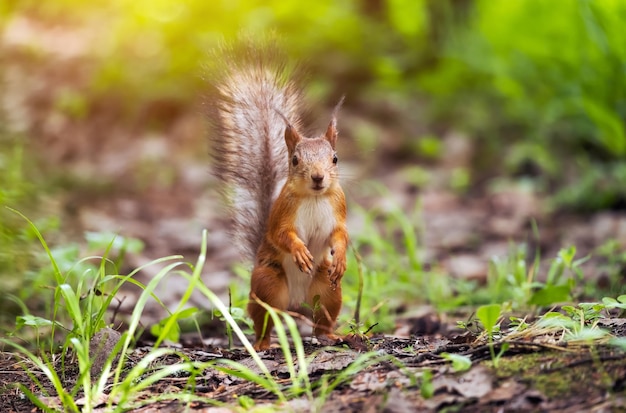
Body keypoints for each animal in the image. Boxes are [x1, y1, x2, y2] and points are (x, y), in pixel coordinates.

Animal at [208, 45, 346, 350]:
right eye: (295, 160)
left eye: (335, 158)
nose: (318, 177)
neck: (314, 197)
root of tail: (295, 302)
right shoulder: (284, 212)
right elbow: (281, 234)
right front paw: (299, 251)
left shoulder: (338, 209)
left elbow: (340, 235)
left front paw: (341, 257)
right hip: (267, 284)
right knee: (265, 320)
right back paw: (262, 344)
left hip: (327, 289)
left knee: (322, 319)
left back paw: (334, 335)